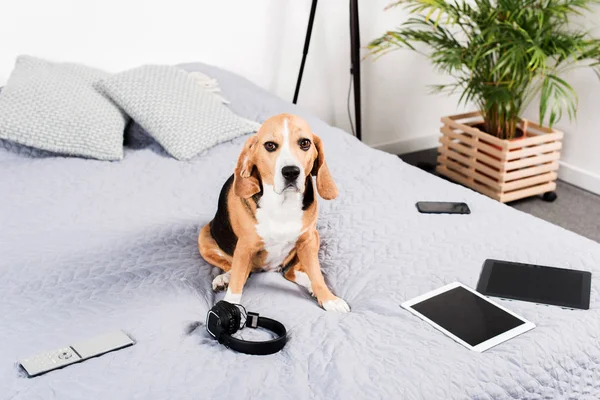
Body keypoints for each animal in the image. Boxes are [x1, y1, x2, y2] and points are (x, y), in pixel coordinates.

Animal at [200, 112, 350, 312]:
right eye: (270, 145)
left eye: (305, 143)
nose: (291, 172)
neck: (283, 204)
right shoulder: (244, 248)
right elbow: (236, 283)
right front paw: (229, 306)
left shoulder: (308, 241)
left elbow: (317, 275)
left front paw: (328, 299)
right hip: (203, 237)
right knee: (234, 267)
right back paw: (224, 277)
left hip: (314, 237)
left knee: (292, 273)